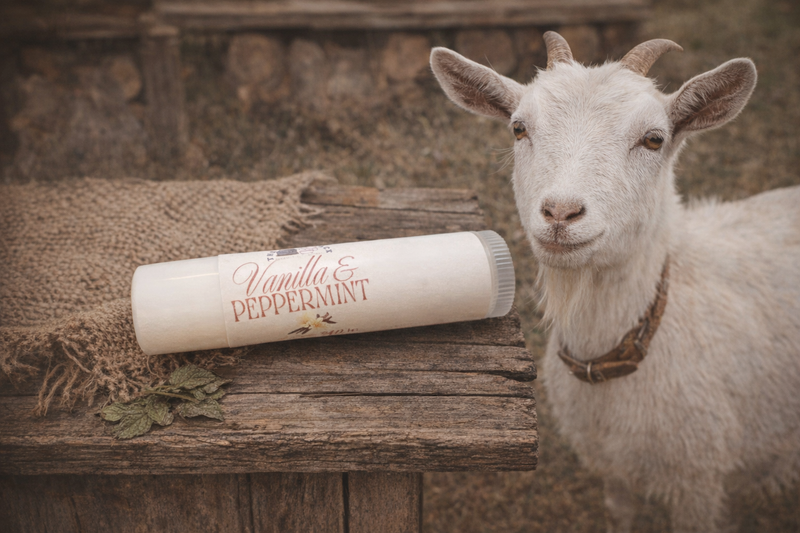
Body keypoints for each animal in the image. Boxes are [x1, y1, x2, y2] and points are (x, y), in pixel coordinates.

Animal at [430, 32, 800, 532]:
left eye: (654, 139)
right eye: (518, 128)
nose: (561, 212)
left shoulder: (699, 480)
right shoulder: (613, 469)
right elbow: (621, 513)